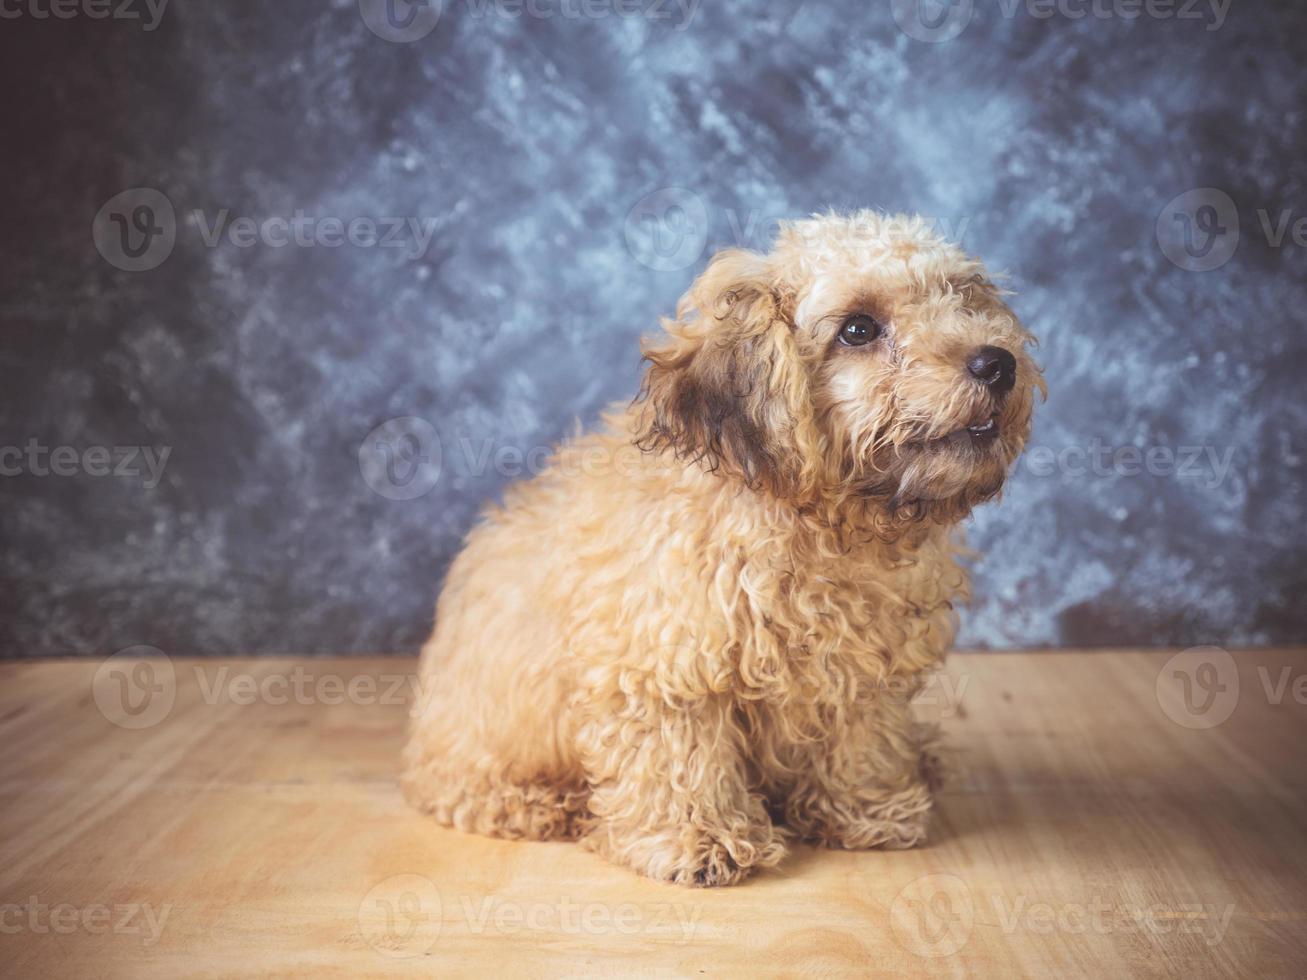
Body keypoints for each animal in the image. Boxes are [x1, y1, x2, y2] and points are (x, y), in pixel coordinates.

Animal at [402, 211, 1045, 888]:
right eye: (859, 329)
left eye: (963, 297)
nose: (997, 362)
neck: (813, 522)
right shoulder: (666, 661)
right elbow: (684, 759)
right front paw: (698, 840)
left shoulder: (862, 663)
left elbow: (861, 737)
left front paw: (868, 809)